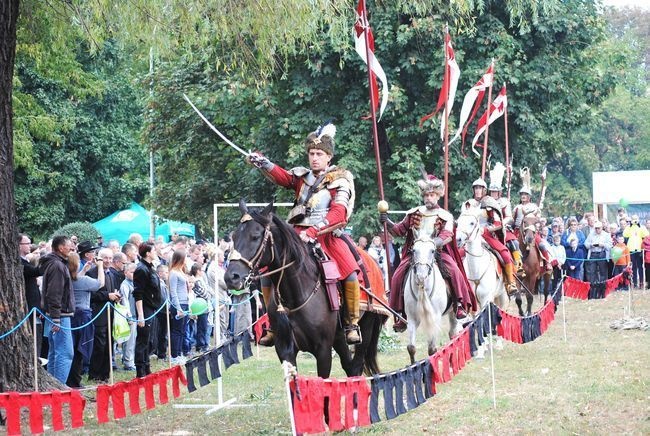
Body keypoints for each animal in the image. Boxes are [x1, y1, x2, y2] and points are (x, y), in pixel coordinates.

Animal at [223, 201, 384, 378]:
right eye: (234, 238)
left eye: (255, 236)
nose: (231, 277)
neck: (295, 295)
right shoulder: (285, 350)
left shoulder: (323, 350)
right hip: (338, 336)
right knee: (350, 366)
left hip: (366, 327)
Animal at [456, 209, 506, 358]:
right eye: (458, 222)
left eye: (472, 223)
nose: (458, 239)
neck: (476, 270)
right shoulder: (473, 303)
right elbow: (476, 321)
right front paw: (480, 348)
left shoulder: (485, 300)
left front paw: (483, 348)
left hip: (501, 295)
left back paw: (498, 342)